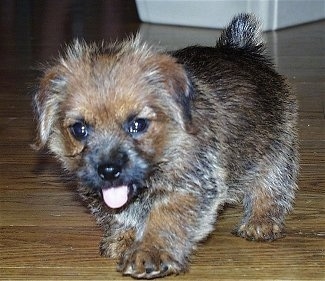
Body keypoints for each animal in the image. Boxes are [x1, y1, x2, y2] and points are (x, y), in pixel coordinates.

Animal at [33, 13, 298, 278]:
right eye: (79, 129)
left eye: (138, 124)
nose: (108, 171)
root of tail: (241, 49)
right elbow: (119, 215)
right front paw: (124, 238)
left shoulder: (190, 185)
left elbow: (168, 217)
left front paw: (151, 251)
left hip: (278, 151)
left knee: (271, 188)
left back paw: (261, 222)